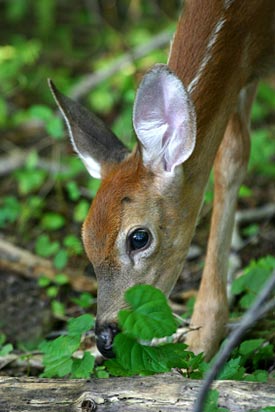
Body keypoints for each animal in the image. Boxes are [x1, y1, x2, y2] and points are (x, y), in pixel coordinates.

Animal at [49, 0, 275, 358]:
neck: (249, 19)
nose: (105, 340)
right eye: (85, 240)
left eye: (139, 238)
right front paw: (203, 335)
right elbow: (232, 156)